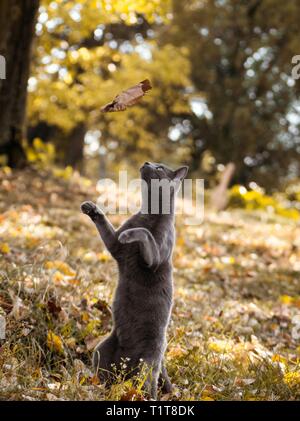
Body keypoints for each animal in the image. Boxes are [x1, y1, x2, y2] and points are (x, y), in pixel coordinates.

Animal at [80, 160, 188, 398]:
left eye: (160, 167)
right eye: (153, 162)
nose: (148, 163)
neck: (149, 213)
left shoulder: (154, 258)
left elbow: (144, 234)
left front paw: (130, 234)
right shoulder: (115, 246)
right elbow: (111, 229)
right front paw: (91, 207)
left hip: (148, 364)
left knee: (148, 388)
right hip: (101, 350)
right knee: (105, 376)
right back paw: (95, 387)